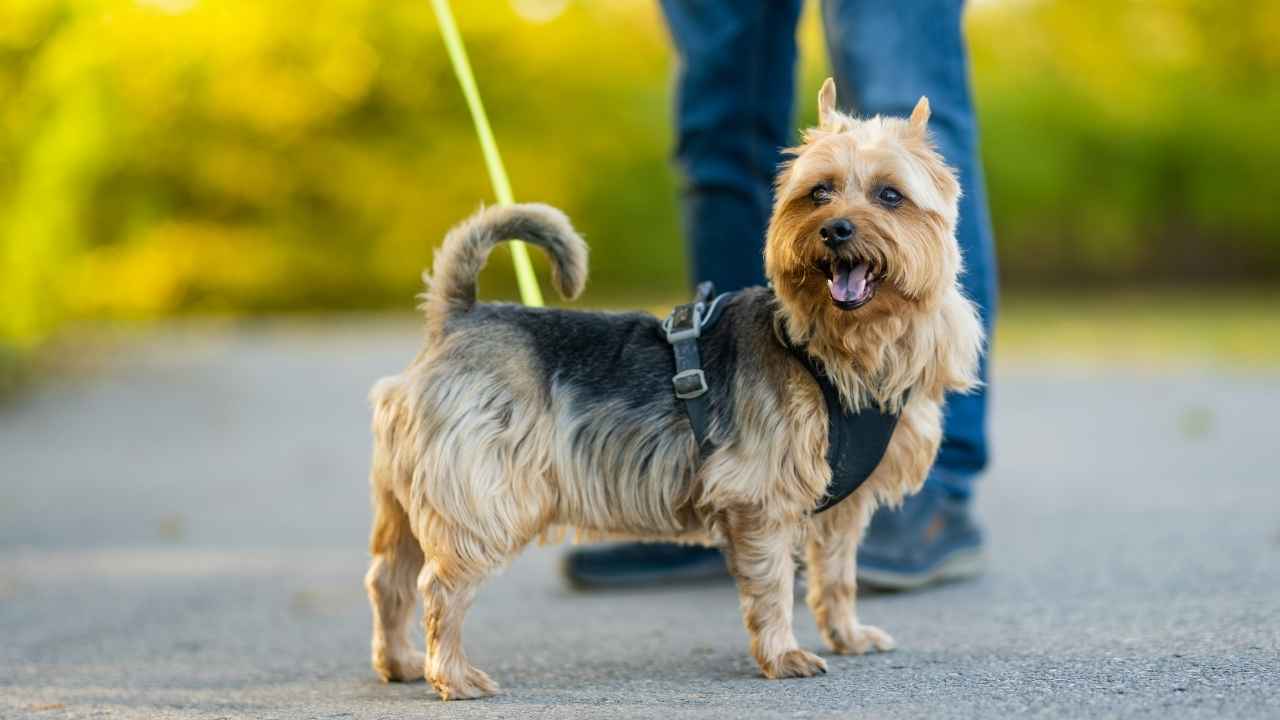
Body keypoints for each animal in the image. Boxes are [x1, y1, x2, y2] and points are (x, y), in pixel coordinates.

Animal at [366, 77, 983, 696]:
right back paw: (453, 674)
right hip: (483, 498)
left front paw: (848, 636)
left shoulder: (839, 509)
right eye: (819, 193)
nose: (835, 229)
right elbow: (773, 587)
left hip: (409, 497)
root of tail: (456, 316)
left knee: (388, 577)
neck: (836, 347)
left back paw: (401, 663)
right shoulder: (760, 499)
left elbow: (836, 576)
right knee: (437, 586)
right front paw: (783, 655)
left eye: (890, 195)